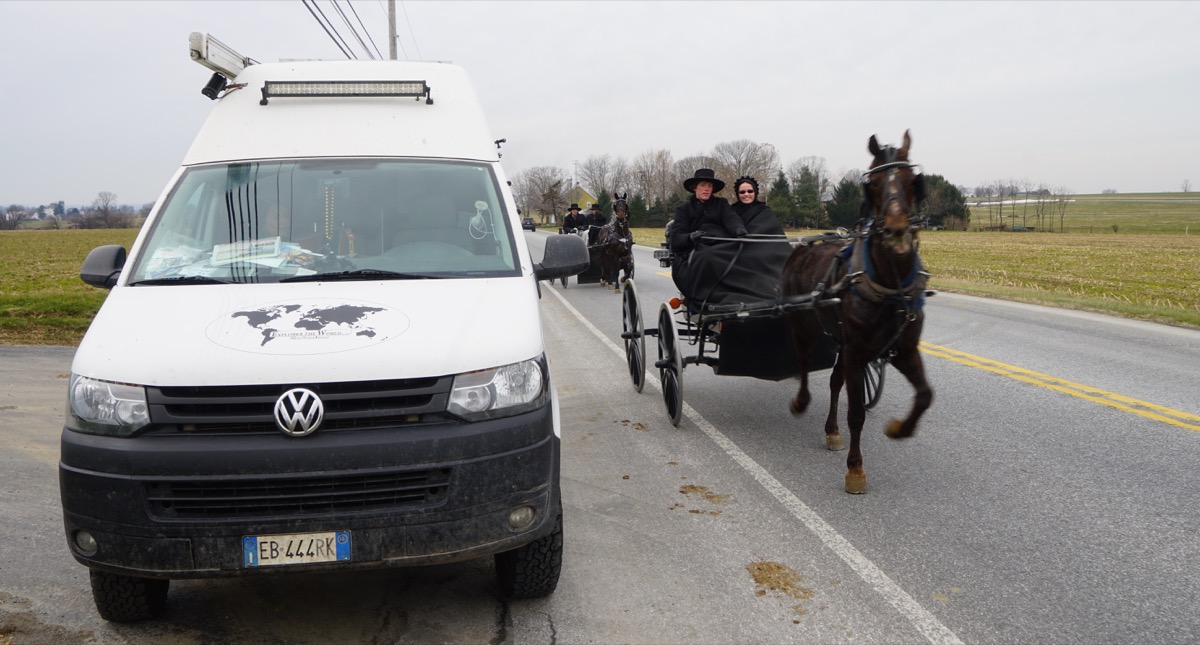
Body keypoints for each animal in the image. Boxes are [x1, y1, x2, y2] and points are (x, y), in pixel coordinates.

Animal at [782, 129, 931, 491]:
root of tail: (801, 246)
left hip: (840, 341)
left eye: (912, 180)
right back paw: (801, 401)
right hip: (802, 324)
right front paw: (855, 468)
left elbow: (924, 396)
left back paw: (832, 431)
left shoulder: (903, 349)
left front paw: (900, 429)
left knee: (835, 381)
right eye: (873, 183)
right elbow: (857, 413)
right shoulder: (857, 351)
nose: (896, 230)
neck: (889, 284)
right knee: (804, 363)